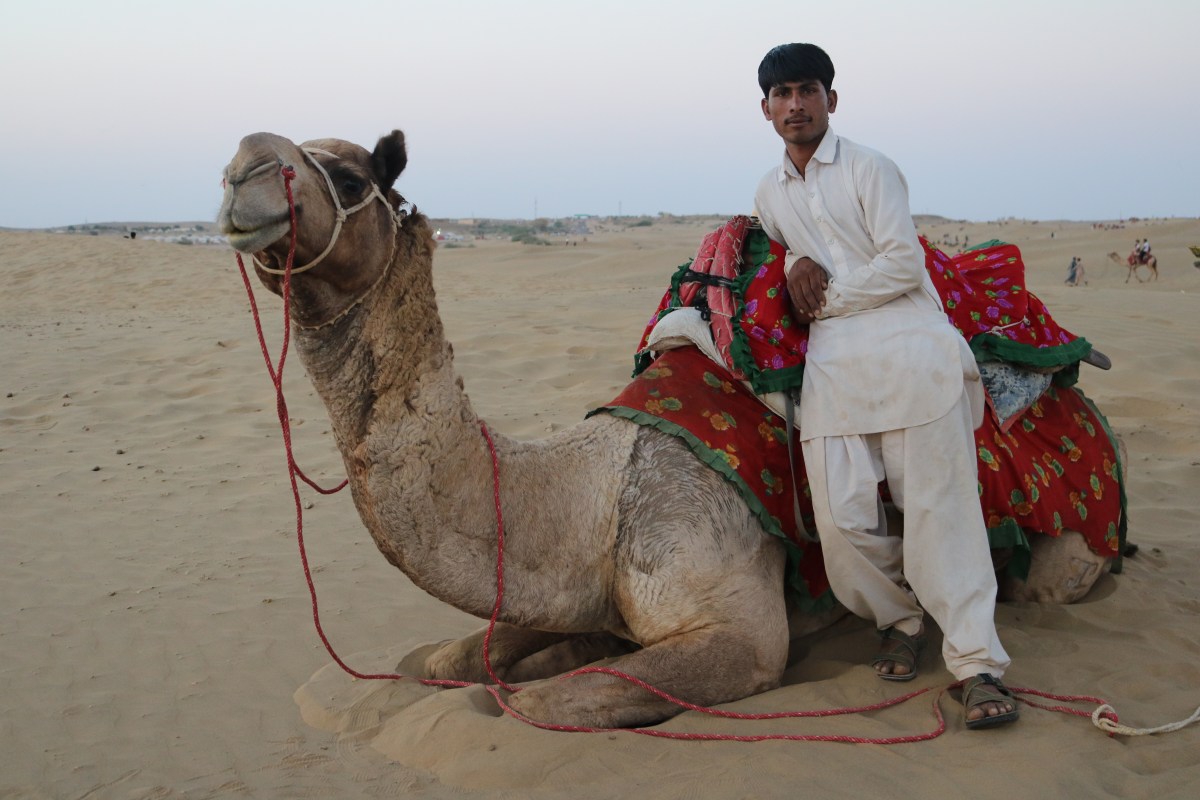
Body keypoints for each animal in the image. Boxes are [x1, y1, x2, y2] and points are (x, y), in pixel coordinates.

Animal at [218, 129, 1113, 729]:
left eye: (347, 173)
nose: (243, 168)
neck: (591, 497)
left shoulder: (741, 630)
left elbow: (546, 701)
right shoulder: (569, 583)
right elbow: (454, 655)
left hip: (1057, 548)